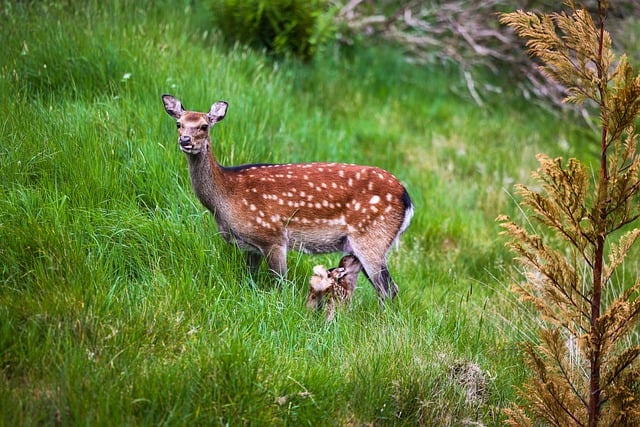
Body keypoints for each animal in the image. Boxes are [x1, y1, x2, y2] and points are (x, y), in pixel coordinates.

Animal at [161, 94, 413, 300]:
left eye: (204, 126)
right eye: (178, 123)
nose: (185, 140)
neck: (226, 198)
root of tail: (407, 199)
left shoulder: (272, 235)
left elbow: (281, 283)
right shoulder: (250, 246)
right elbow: (250, 278)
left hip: (371, 237)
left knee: (388, 289)